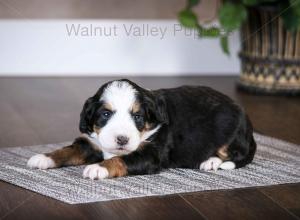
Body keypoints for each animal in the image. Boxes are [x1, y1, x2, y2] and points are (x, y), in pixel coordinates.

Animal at [27, 80, 255, 180]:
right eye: (105, 114)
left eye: (137, 116)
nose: (122, 139)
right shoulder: (91, 142)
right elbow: (68, 150)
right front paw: (43, 157)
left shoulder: (151, 154)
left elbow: (121, 159)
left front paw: (98, 168)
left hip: (228, 127)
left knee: (234, 153)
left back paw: (211, 161)